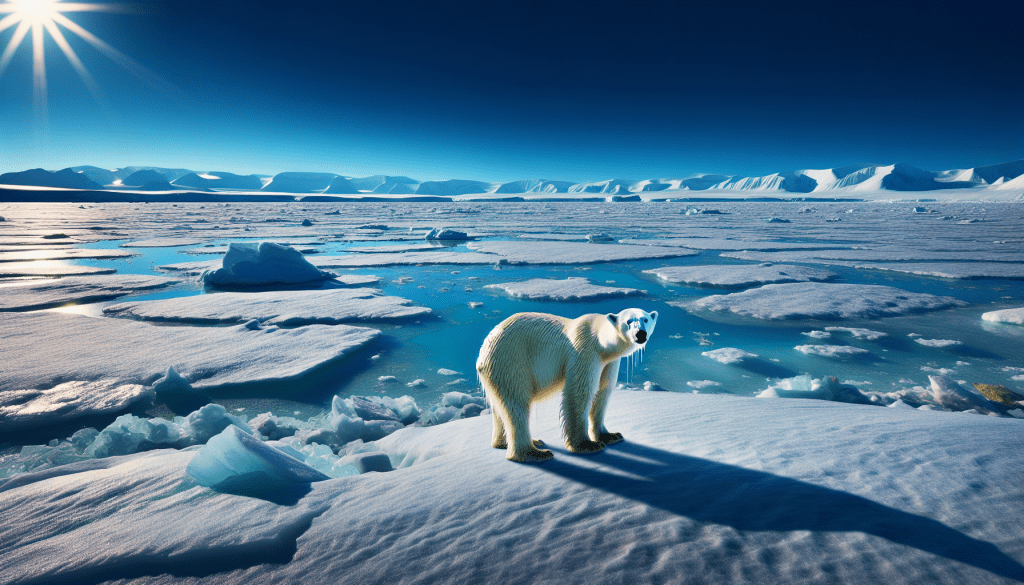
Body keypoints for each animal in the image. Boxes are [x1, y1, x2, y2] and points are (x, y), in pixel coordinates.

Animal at [476, 308, 658, 463]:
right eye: (629, 321)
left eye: (645, 319)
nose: (640, 333)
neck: (600, 342)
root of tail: (482, 352)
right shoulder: (584, 350)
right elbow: (580, 392)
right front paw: (587, 445)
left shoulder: (609, 362)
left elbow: (603, 392)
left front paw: (611, 436)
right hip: (510, 361)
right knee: (516, 404)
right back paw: (534, 453)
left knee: (500, 407)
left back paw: (505, 443)